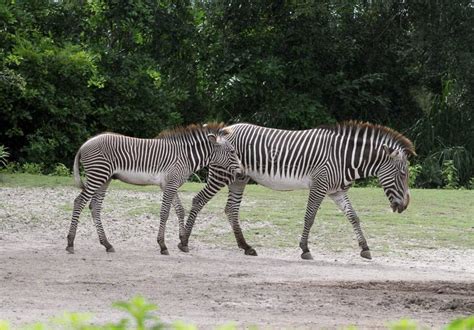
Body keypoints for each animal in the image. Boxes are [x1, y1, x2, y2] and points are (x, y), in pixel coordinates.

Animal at [65, 122, 241, 254]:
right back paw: (70, 243)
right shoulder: (170, 184)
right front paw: (163, 245)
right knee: (79, 202)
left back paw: (107, 244)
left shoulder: (171, 185)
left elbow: (180, 210)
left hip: (104, 179)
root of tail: (85, 144)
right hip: (98, 175)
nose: (241, 172)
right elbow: (165, 213)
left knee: (94, 207)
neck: (185, 157)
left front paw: (183, 242)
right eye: (232, 151)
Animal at [178, 121, 414, 260]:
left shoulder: (336, 191)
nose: (404, 206)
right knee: (198, 200)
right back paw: (184, 242)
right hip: (221, 174)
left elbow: (353, 217)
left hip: (239, 178)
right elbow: (309, 217)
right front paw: (305, 249)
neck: (343, 157)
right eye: (403, 174)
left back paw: (246, 246)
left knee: (231, 210)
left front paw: (364, 248)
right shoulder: (319, 185)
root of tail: (225, 129)